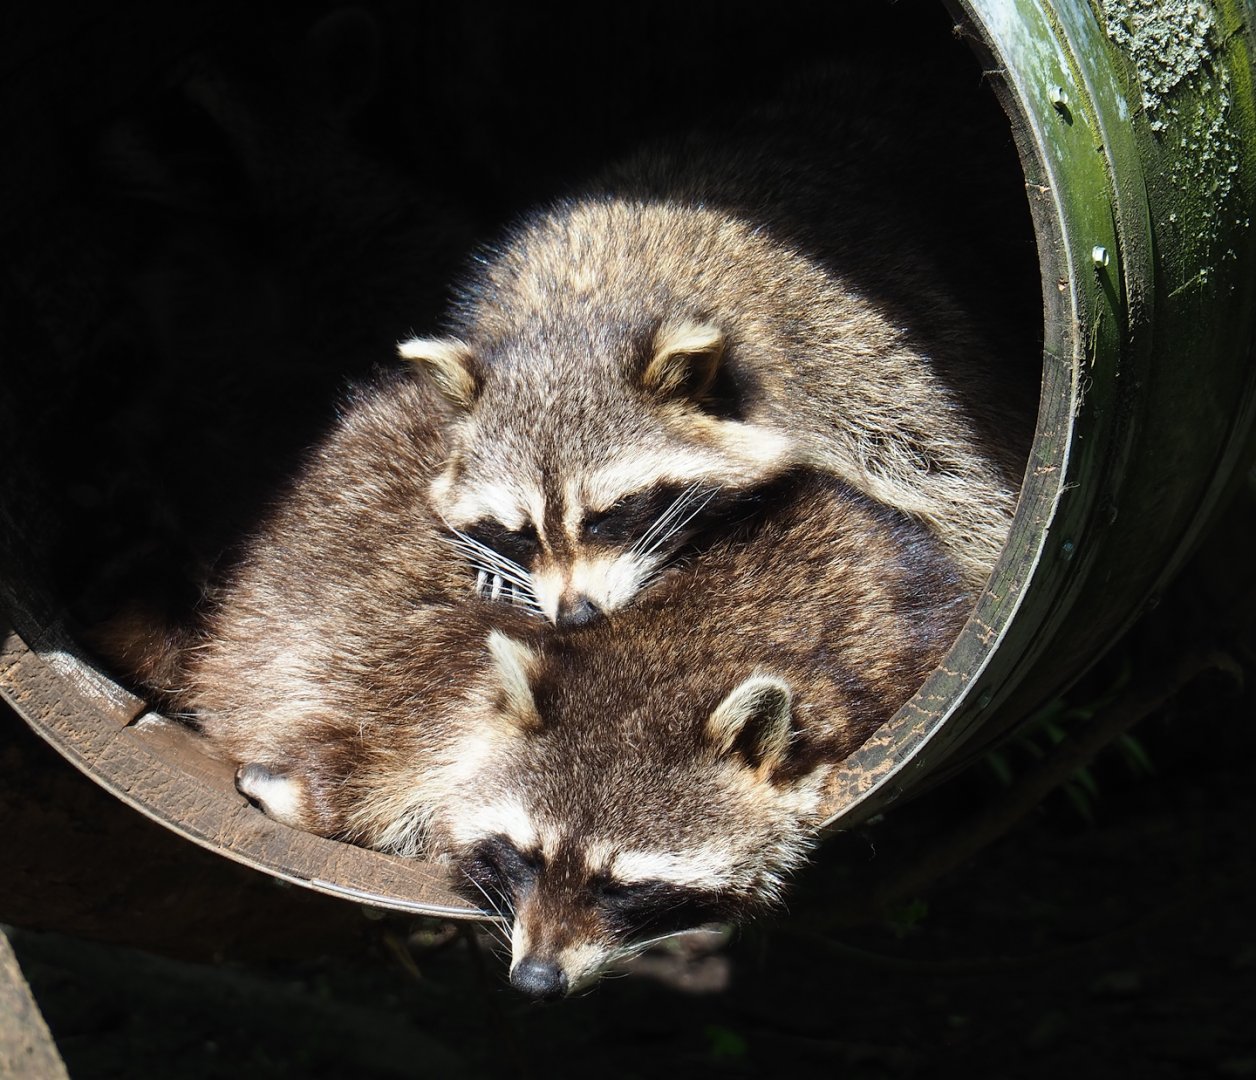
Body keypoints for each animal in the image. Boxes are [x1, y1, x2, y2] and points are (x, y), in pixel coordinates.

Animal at [399, 72, 1033, 628]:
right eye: (522, 531)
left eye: (608, 516)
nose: (577, 616)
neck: (577, 310)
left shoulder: (850, 365)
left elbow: (955, 491)